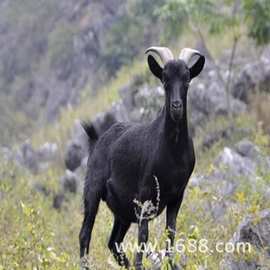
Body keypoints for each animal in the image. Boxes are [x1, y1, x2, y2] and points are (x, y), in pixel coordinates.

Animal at [79, 46, 206, 268]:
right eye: (164, 79)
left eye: (187, 79)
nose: (176, 106)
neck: (172, 153)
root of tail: (96, 140)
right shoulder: (144, 196)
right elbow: (143, 236)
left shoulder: (177, 196)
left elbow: (170, 232)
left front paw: (171, 264)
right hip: (92, 190)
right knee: (85, 234)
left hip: (122, 211)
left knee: (114, 241)